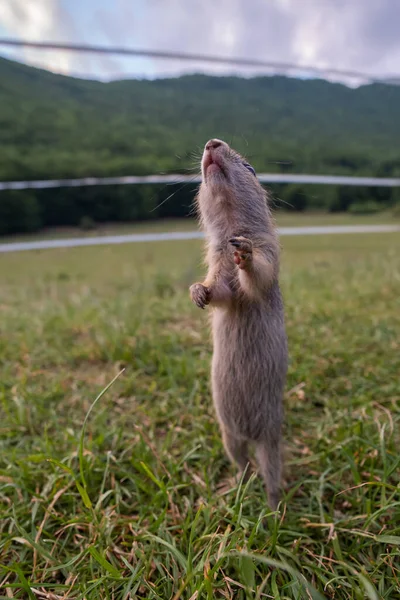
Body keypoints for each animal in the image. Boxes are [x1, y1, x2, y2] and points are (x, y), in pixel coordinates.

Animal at [191, 138, 288, 508]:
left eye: (251, 168)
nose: (211, 142)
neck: (232, 227)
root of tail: (248, 433)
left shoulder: (269, 251)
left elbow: (257, 277)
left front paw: (244, 255)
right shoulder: (217, 262)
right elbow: (220, 292)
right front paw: (197, 292)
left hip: (271, 438)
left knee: (271, 474)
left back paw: (274, 508)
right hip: (227, 434)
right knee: (242, 463)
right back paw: (236, 488)